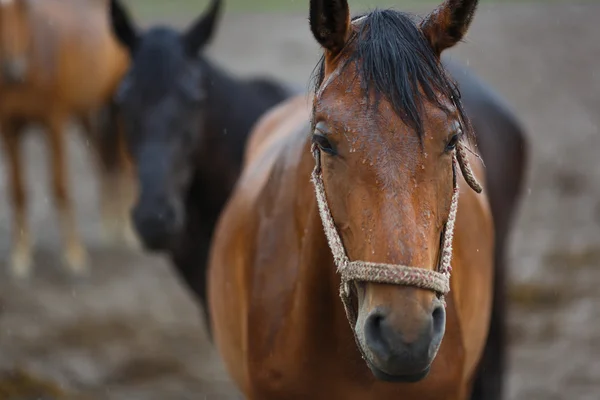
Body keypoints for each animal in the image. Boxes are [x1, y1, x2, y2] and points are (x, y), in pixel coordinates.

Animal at [0, 0, 132, 278]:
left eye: (23, 8)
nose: (13, 70)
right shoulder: (9, 130)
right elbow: (17, 191)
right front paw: (21, 255)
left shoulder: (54, 124)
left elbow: (60, 186)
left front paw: (74, 255)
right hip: (86, 115)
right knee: (102, 163)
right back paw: (109, 226)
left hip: (119, 107)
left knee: (125, 165)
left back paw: (126, 229)